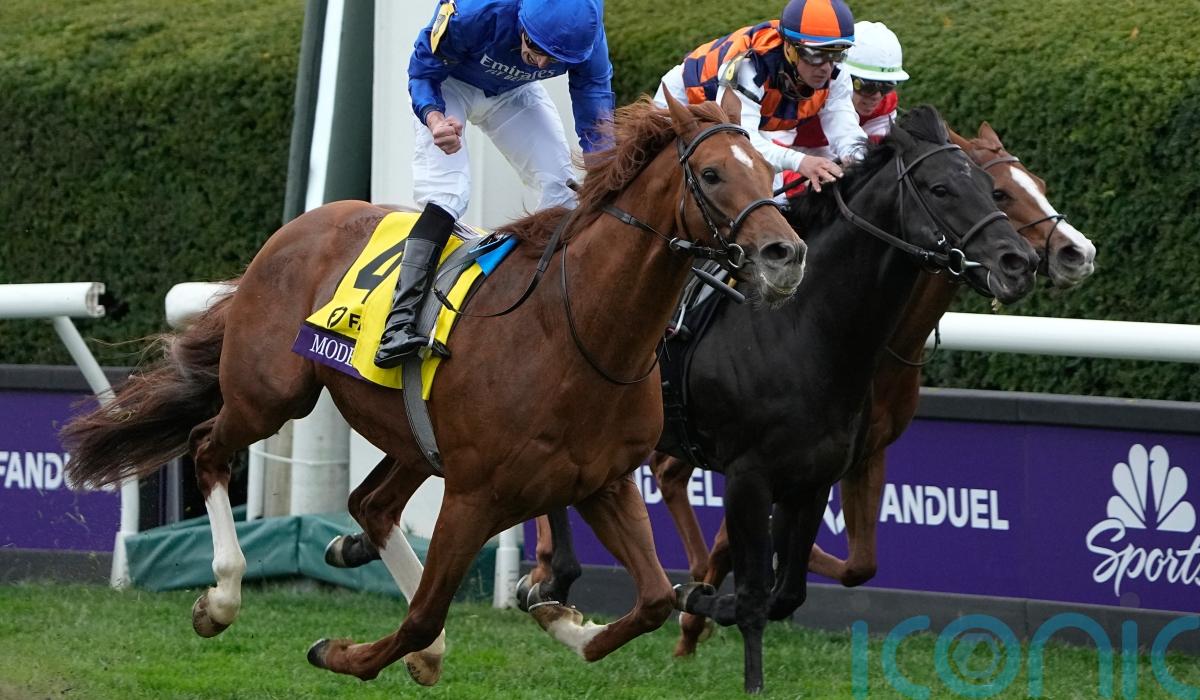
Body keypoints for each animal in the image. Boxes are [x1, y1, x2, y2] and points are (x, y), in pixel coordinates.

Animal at [60, 91, 807, 686]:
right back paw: (221, 598)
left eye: (771, 171)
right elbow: (420, 615)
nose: (787, 255)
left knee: (370, 504)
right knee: (206, 446)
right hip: (269, 394)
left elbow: (654, 600)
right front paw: (342, 653)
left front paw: (566, 623)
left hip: (410, 437)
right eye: (712, 173)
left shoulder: (603, 482)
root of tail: (296, 229)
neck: (577, 334)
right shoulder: (477, 493)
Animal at [523, 105, 1043, 693]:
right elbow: (753, 597)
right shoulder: (749, 477)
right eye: (941, 188)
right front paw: (730, 647)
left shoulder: (814, 477)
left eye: (987, 188)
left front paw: (702, 598)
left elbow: (785, 593)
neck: (802, 330)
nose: (1019, 262)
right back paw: (552, 575)